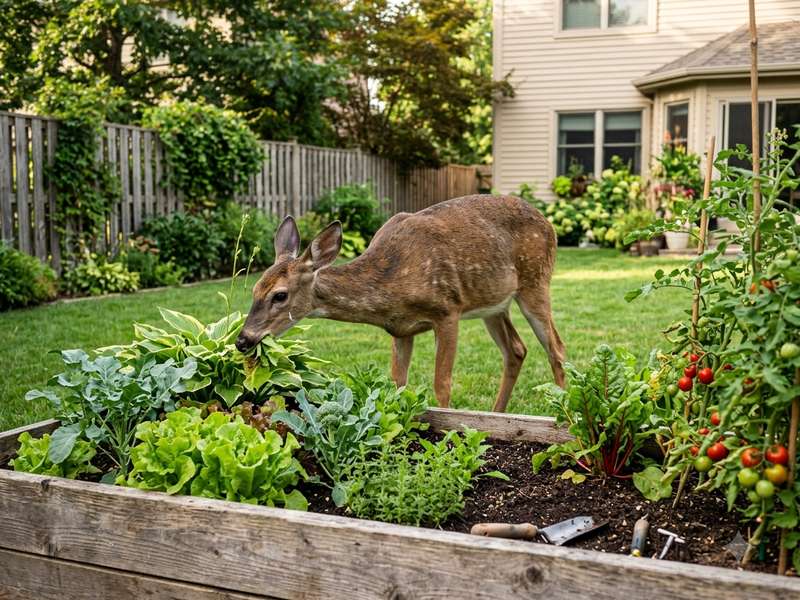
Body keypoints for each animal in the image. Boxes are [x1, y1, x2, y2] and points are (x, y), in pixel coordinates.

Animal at [235, 194, 566, 412]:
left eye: (280, 295)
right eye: (254, 290)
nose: (242, 339)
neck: (390, 283)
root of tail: (549, 224)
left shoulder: (448, 309)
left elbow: (442, 384)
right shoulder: (401, 330)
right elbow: (398, 384)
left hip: (536, 281)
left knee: (556, 348)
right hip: (494, 304)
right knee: (517, 349)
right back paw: (496, 414)